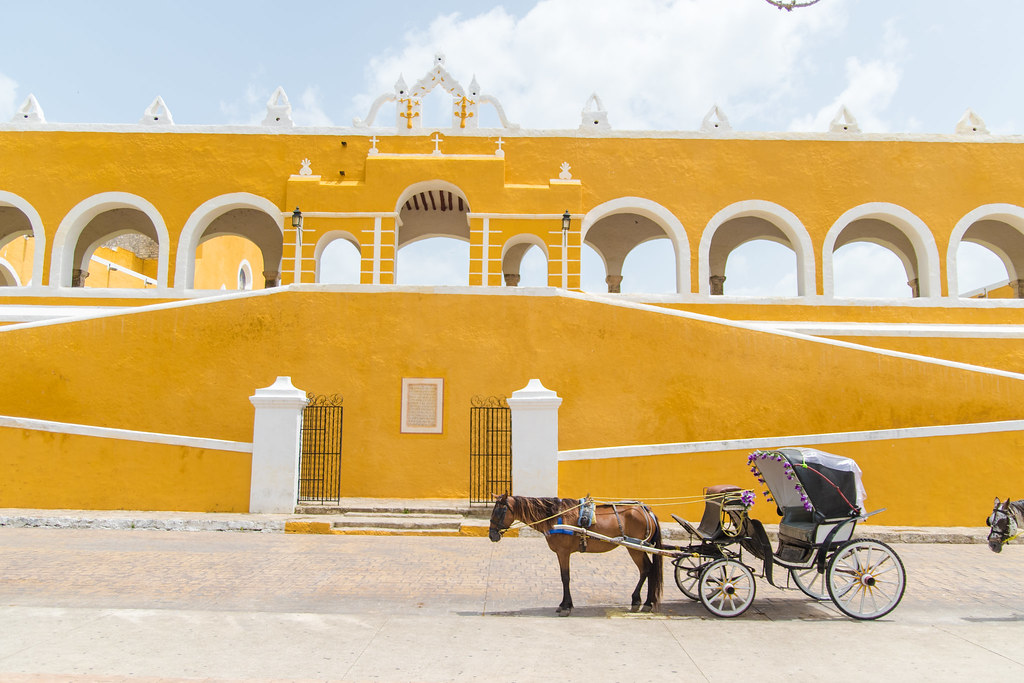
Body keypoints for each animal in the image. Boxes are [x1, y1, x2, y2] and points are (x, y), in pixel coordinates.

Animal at [487, 493, 663, 618]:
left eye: (499, 511)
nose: (492, 535)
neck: (555, 517)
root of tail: (648, 511)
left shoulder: (563, 552)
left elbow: (565, 577)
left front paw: (566, 607)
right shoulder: (561, 553)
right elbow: (564, 577)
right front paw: (564, 604)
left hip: (635, 548)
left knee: (646, 569)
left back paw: (643, 602)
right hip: (637, 548)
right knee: (648, 569)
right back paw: (643, 602)